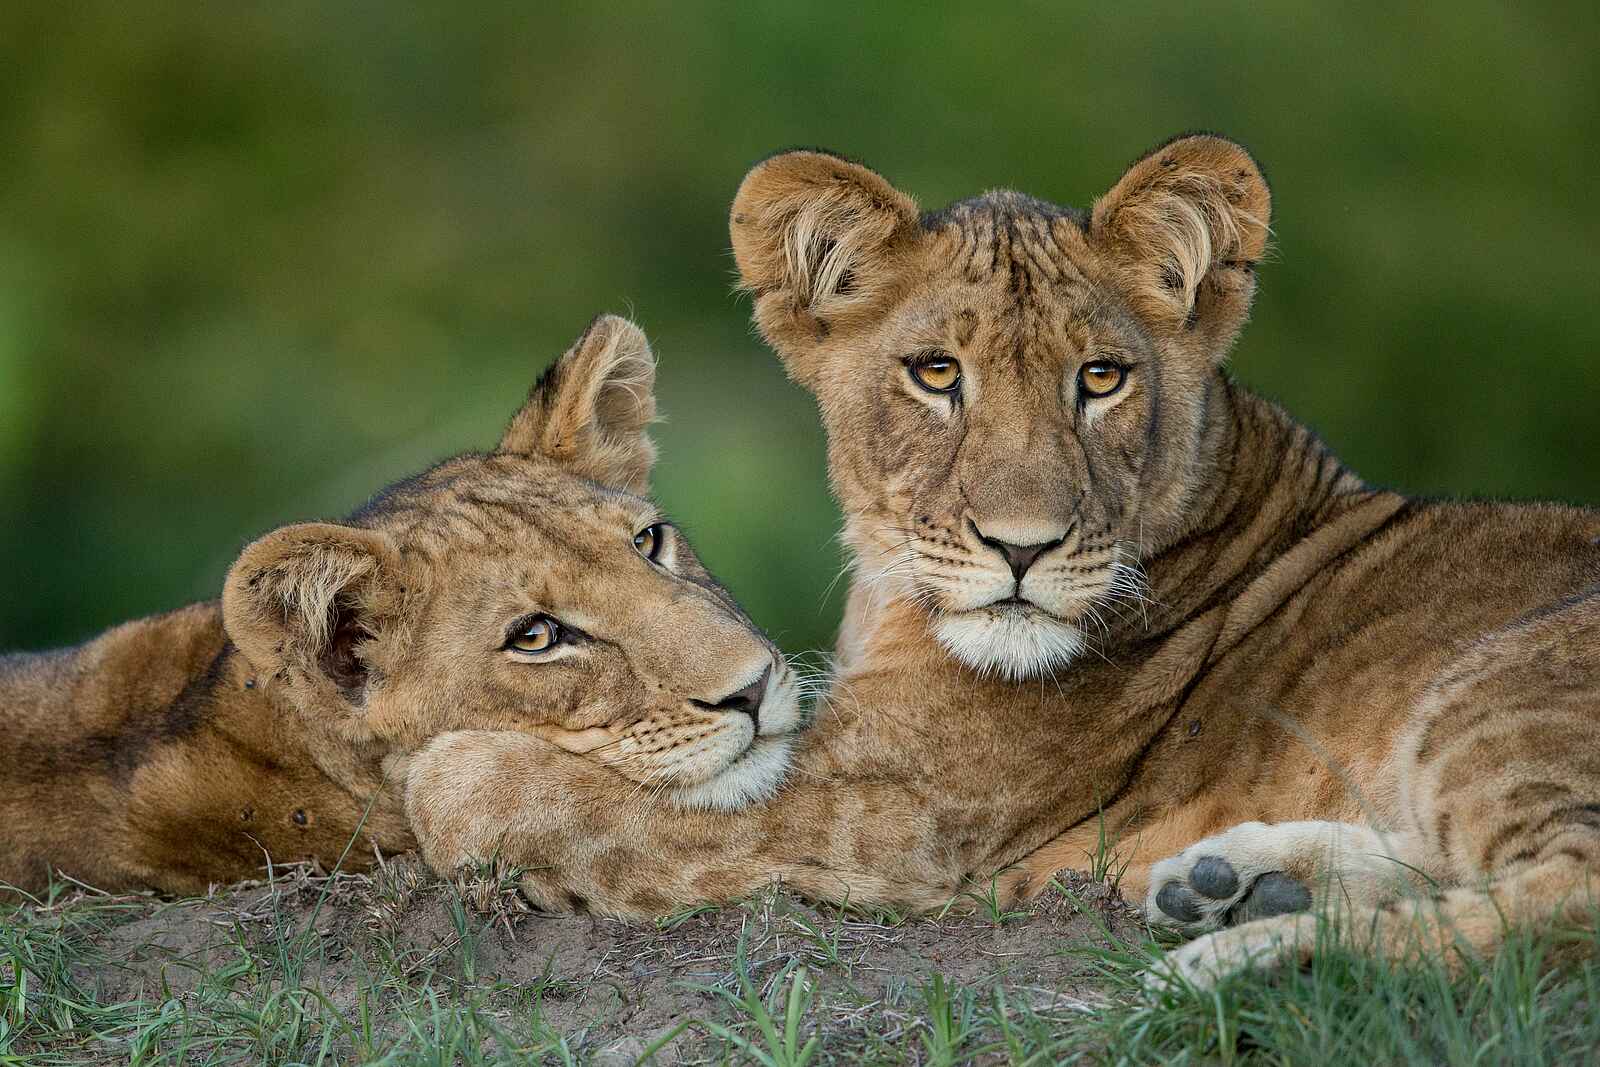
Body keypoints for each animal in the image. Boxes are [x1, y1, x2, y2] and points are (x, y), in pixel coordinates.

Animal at [408, 134, 1600, 989]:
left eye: (1102, 377)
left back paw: (1247, 960)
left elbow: (588, 804)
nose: (1021, 548)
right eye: (936, 373)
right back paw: (1238, 883)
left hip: (1495, 695)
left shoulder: (881, 821)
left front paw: (444, 770)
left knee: (1564, 902)